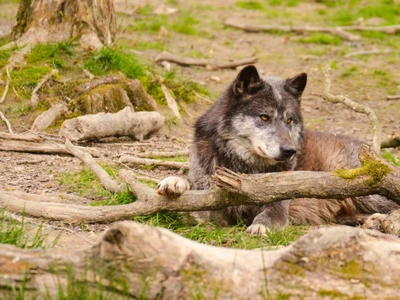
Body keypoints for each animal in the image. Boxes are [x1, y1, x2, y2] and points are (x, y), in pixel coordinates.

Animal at [155, 65, 396, 234]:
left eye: (289, 120)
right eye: (264, 117)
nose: (290, 150)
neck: (242, 167)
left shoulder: (279, 203)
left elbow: (270, 213)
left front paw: (260, 226)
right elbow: (191, 185)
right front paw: (174, 181)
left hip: (368, 191)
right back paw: (373, 221)